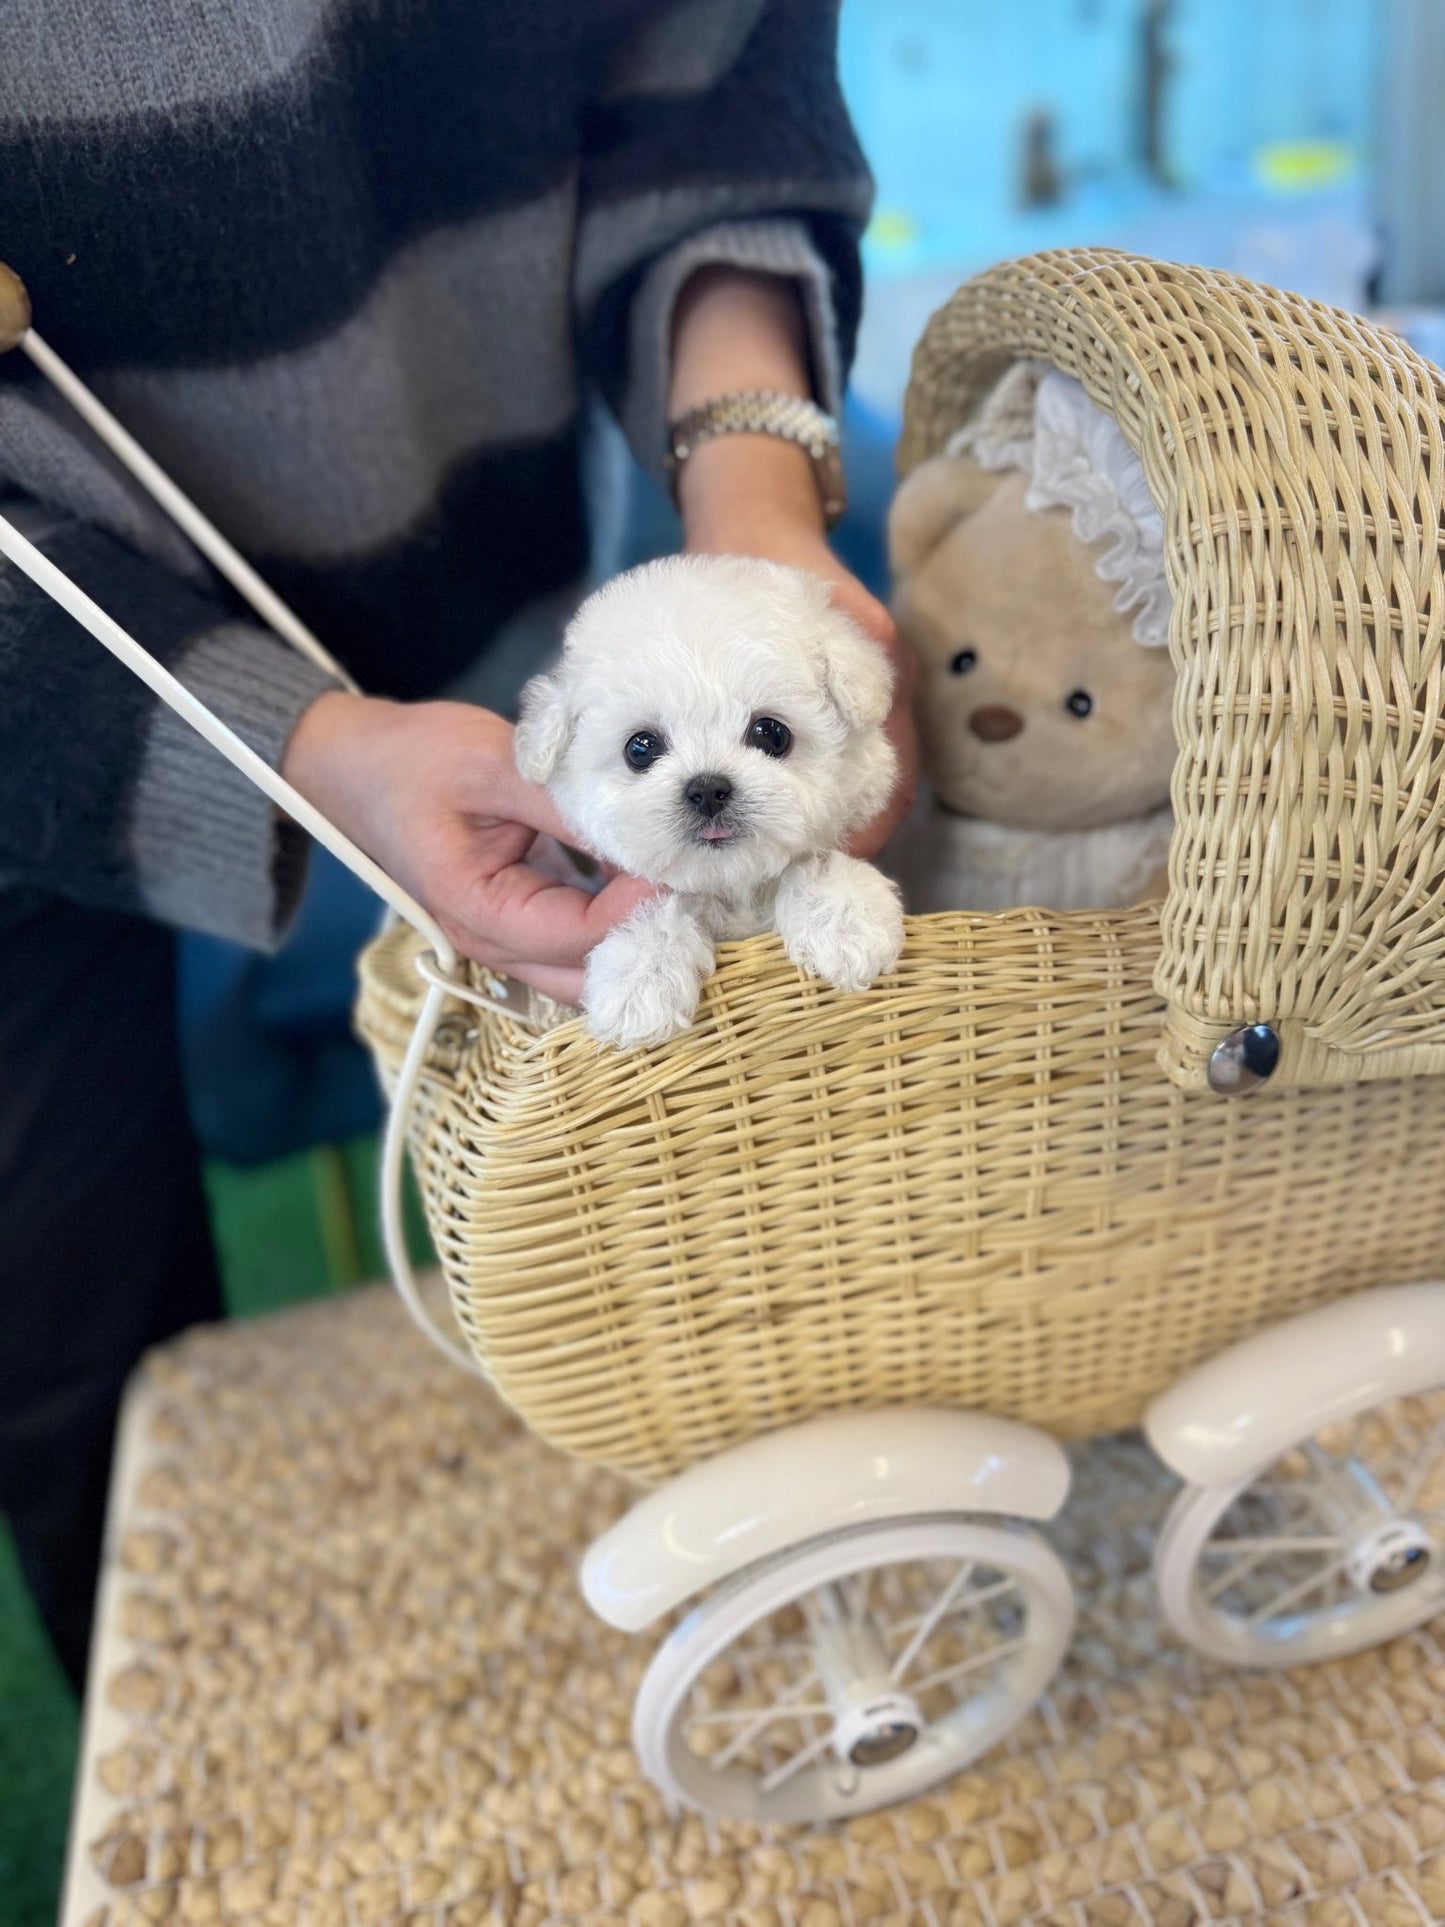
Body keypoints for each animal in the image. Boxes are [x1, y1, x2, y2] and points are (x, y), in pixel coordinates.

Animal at [516, 551, 905, 1048]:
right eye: (640, 749)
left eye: (771, 733)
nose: (706, 790)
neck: (737, 888)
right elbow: (670, 903)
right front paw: (638, 980)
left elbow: (810, 861)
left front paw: (845, 922)